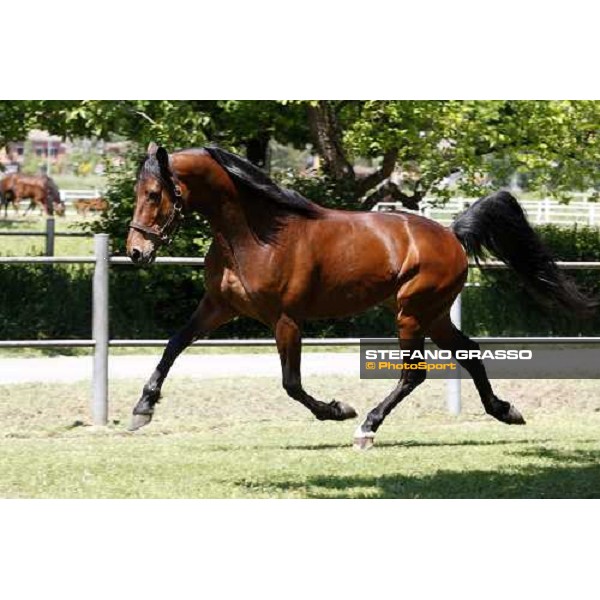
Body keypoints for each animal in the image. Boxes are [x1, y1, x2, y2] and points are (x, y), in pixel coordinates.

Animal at [124, 143, 592, 448]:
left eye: (154, 194)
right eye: (137, 193)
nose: (136, 251)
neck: (257, 235)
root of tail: (451, 233)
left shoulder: (286, 320)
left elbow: (291, 383)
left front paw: (338, 409)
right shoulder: (218, 307)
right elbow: (174, 344)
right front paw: (142, 410)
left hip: (411, 313)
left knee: (414, 374)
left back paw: (366, 427)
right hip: (434, 314)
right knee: (470, 352)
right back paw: (505, 411)